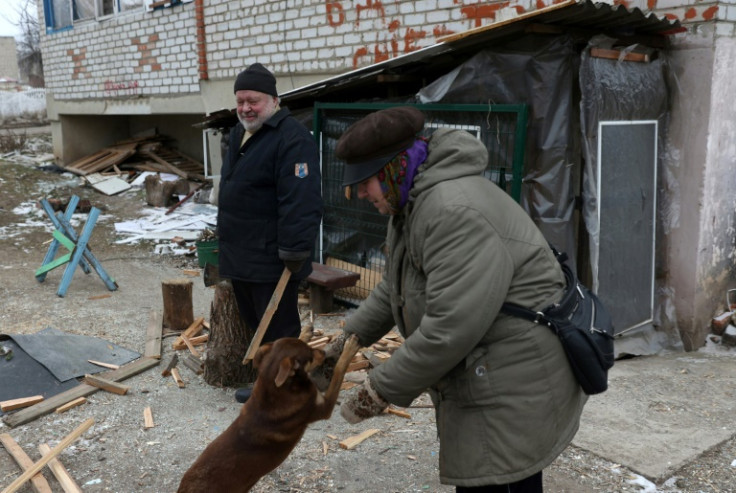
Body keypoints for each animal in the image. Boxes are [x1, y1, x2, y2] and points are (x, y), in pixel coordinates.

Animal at [178, 332, 362, 490]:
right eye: (310, 355)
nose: (323, 352)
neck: (273, 387)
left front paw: (307, 331)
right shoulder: (324, 407)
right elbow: (339, 370)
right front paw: (349, 348)